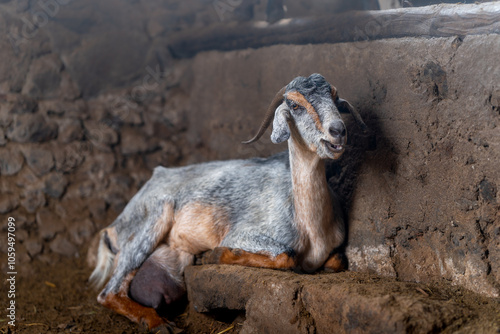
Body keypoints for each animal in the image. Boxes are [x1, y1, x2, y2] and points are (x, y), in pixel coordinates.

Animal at [87, 73, 368, 332]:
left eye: (334, 98)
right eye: (295, 105)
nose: (338, 131)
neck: (312, 227)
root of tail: (113, 226)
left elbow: (338, 259)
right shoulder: (242, 234)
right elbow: (287, 255)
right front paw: (212, 256)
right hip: (149, 224)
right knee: (108, 292)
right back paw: (159, 323)